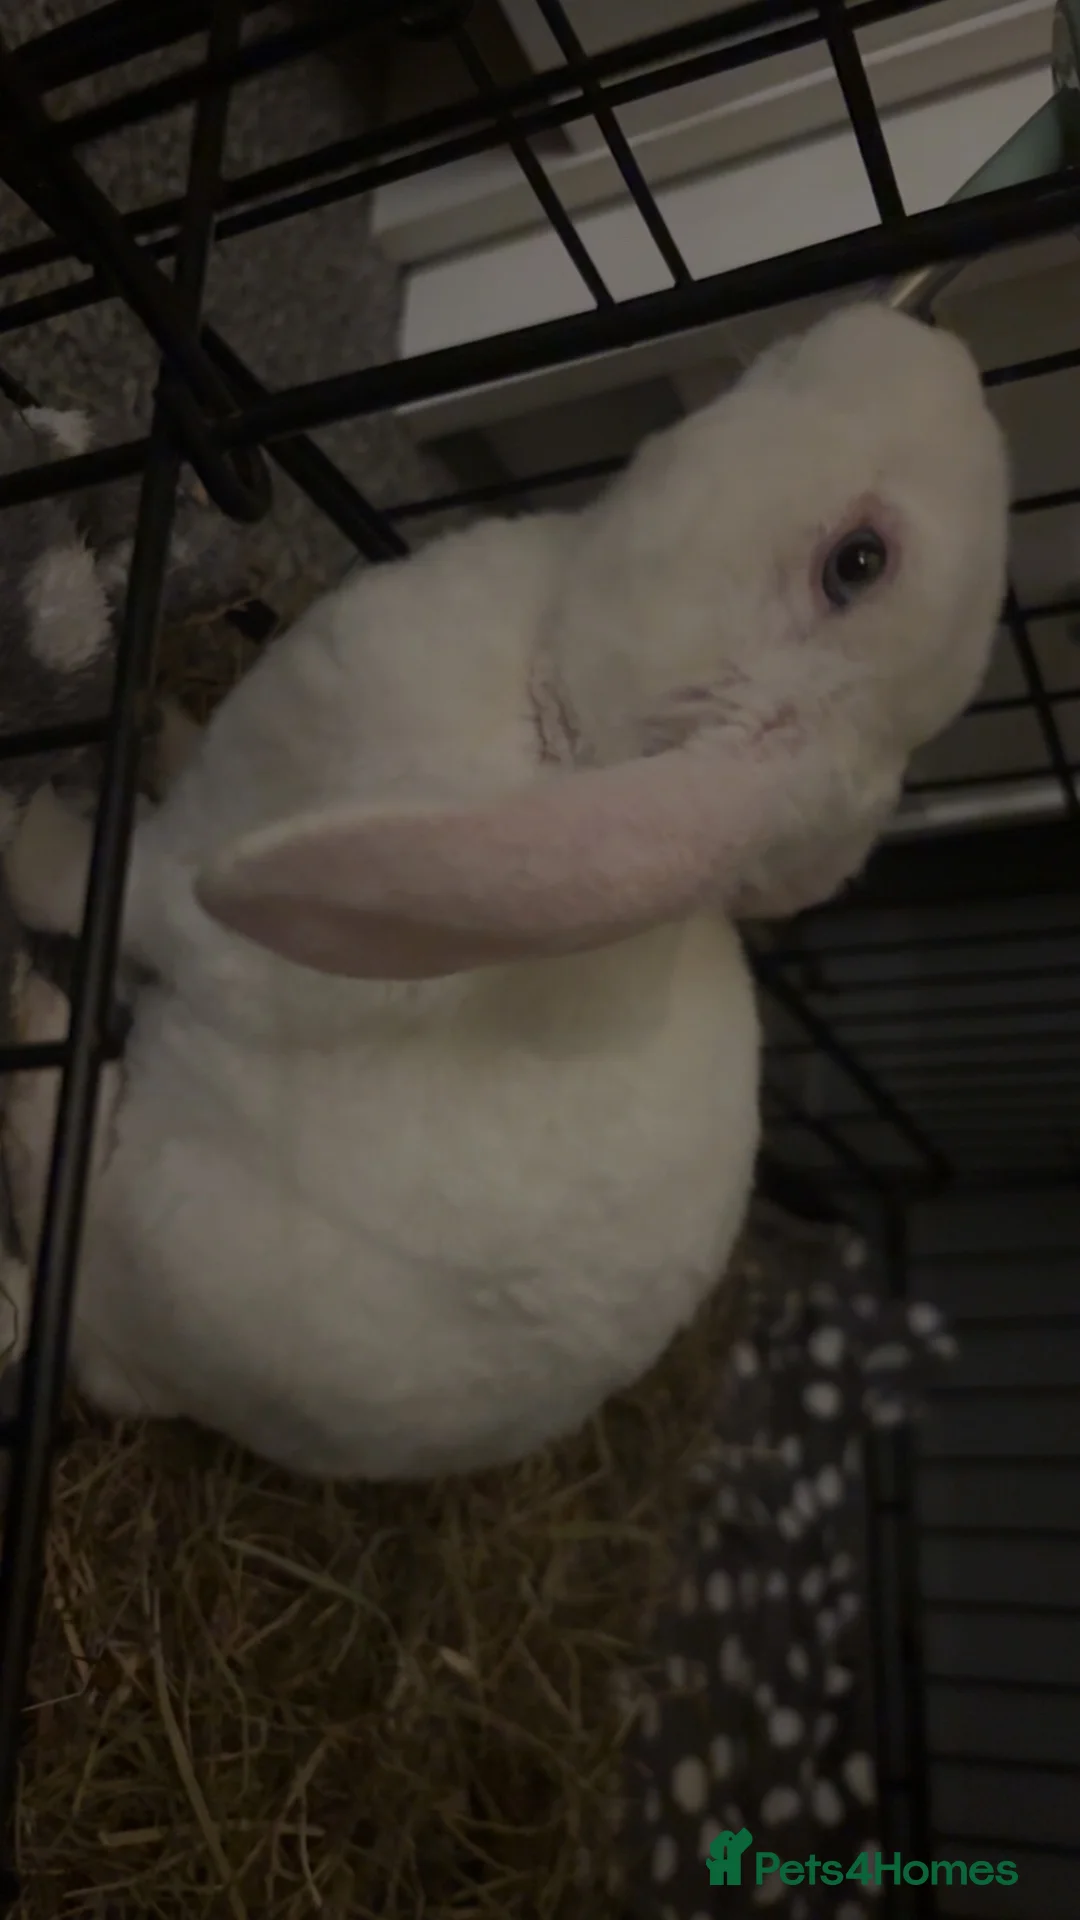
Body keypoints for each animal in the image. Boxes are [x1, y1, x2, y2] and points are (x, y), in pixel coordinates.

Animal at [0, 303, 1009, 1482]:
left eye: (858, 563)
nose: (932, 342)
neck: (558, 718)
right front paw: (160, 734)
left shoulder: (197, 866)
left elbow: (110, 885)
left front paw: (33, 834)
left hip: (159, 1232)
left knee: (71, 1248)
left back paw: (38, 1020)